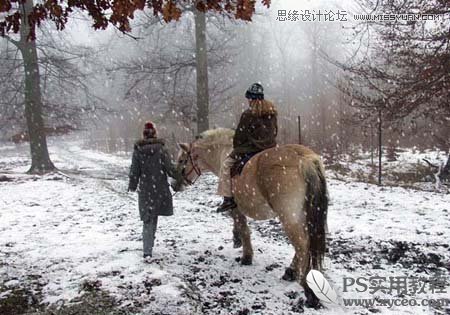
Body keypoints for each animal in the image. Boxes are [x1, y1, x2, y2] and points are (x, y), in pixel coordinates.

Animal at [174, 128, 328, 308]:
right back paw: (291, 272)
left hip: (289, 217)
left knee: (302, 245)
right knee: (305, 244)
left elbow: (243, 228)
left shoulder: (236, 207)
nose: (174, 185)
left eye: (182, 160)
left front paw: (246, 255)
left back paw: (307, 289)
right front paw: (237, 240)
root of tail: (303, 159)